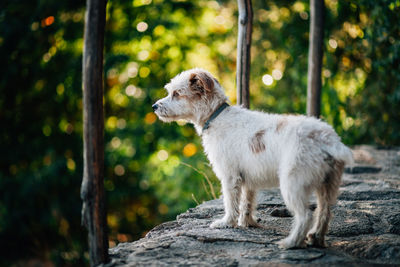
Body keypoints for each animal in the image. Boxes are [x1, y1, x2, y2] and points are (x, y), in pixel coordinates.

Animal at [152, 68, 352, 249]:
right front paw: (246, 223)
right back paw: (316, 239)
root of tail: (327, 139)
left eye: (177, 94)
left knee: (305, 215)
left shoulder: (230, 176)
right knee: (325, 212)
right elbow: (247, 202)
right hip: (328, 185)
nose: (154, 107)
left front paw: (227, 223)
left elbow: (231, 202)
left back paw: (291, 243)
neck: (216, 115)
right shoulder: (248, 179)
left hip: (292, 184)